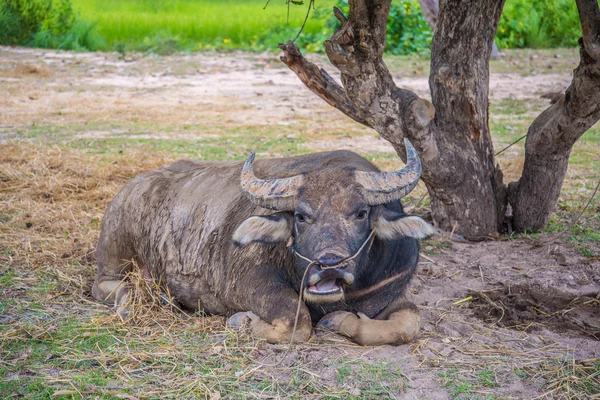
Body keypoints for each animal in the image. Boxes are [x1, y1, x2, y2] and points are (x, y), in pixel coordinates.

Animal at [92, 139, 432, 346]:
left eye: (360, 213)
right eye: (301, 216)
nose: (329, 264)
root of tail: (133, 185)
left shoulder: (391, 290)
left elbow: (409, 323)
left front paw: (339, 322)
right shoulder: (247, 281)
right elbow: (296, 321)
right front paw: (242, 321)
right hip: (114, 249)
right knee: (105, 285)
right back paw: (133, 300)